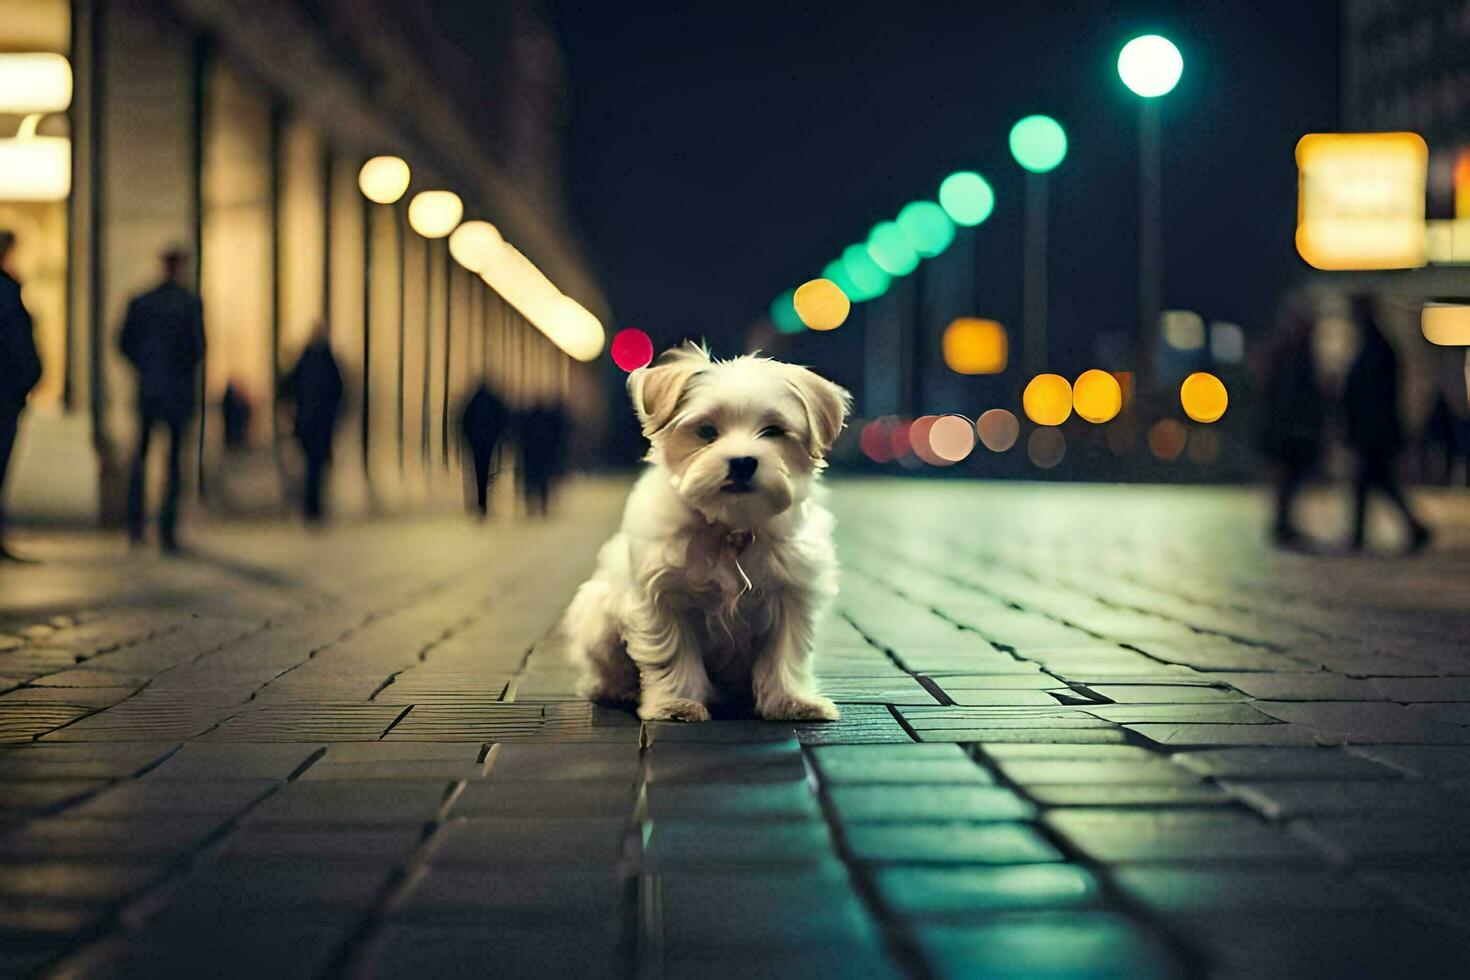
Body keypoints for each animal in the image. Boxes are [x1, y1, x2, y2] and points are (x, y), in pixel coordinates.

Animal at [567, 343, 858, 719]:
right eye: (706, 432)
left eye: (773, 431)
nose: (743, 461)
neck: (730, 527)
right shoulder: (662, 599)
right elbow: (673, 655)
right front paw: (677, 703)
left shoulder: (791, 594)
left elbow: (785, 654)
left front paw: (791, 702)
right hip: (598, 619)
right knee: (603, 673)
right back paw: (620, 690)